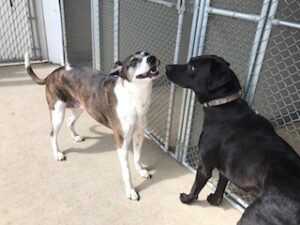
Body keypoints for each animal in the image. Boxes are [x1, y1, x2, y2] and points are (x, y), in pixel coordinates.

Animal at [24, 51, 161, 200]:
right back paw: (57, 153)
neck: (135, 96)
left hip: (79, 107)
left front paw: (140, 171)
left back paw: (75, 137)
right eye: (134, 61)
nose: (152, 58)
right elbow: (126, 171)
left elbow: (137, 157)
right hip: (57, 113)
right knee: (53, 134)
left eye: (147, 53)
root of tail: (53, 73)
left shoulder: (139, 134)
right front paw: (130, 191)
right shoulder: (122, 143)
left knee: (69, 122)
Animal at [166, 55, 300, 225]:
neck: (223, 105)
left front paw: (187, 199)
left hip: (254, 215)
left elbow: (196, 185)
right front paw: (215, 200)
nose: (167, 66)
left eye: (192, 67)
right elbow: (221, 185)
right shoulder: (227, 168)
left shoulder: (204, 166)